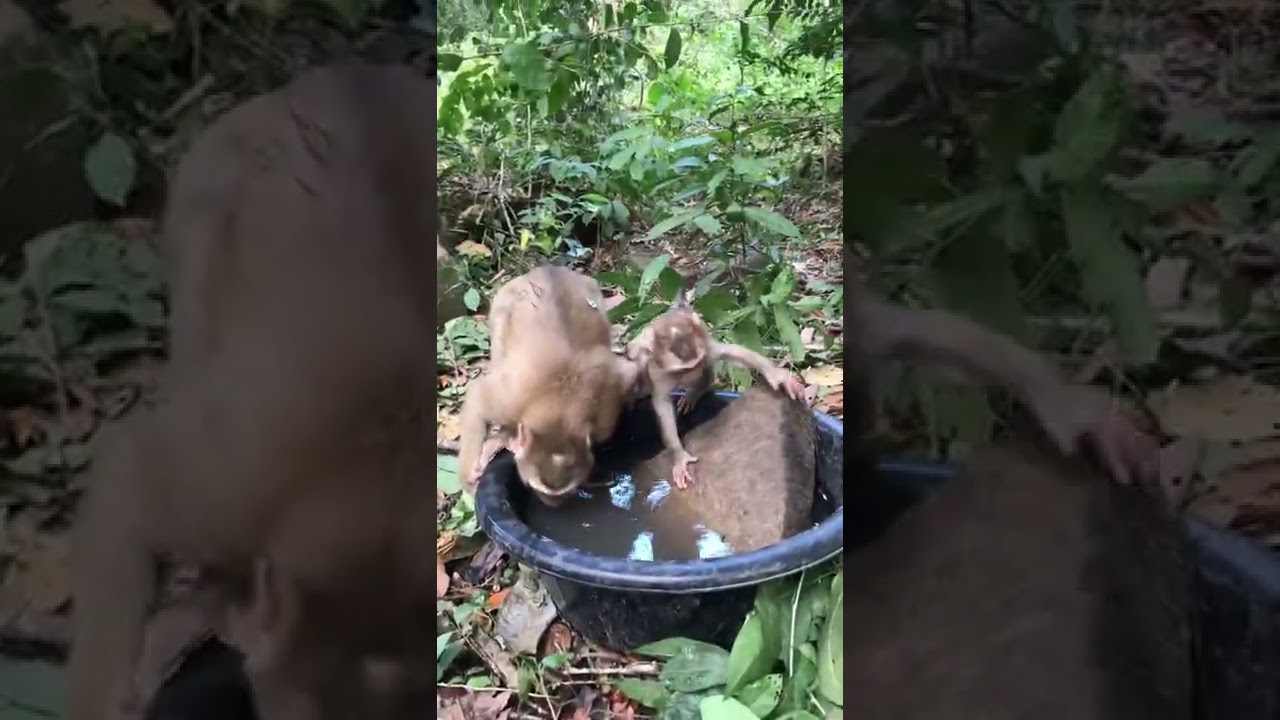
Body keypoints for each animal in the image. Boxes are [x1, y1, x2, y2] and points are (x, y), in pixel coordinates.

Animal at [457, 265, 644, 505]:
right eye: (531, 486)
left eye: (568, 492)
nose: (553, 504)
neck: (559, 409)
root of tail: (547, 268)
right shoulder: (509, 401)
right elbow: (478, 396)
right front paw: (469, 477)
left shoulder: (607, 407)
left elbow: (632, 372)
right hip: (503, 302)